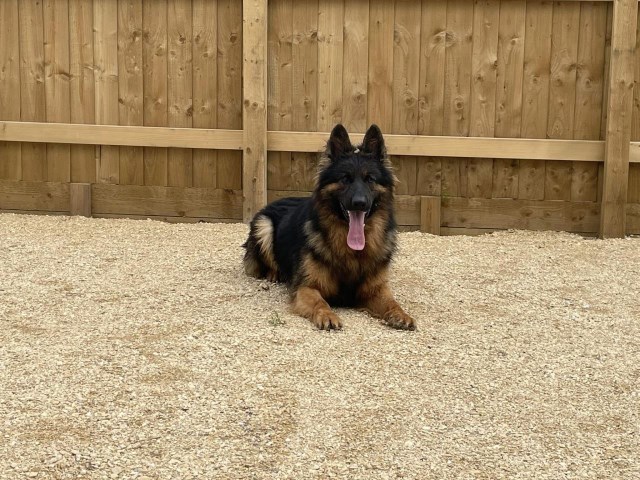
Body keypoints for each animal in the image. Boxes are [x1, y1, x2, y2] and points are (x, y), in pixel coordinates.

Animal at [242, 124, 418, 330]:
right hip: (264, 225)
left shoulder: (375, 290)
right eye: (345, 179)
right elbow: (320, 302)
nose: (359, 203)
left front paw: (401, 314)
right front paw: (327, 315)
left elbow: (391, 301)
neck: (352, 252)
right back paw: (274, 274)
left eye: (370, 179)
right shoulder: (306, 287)